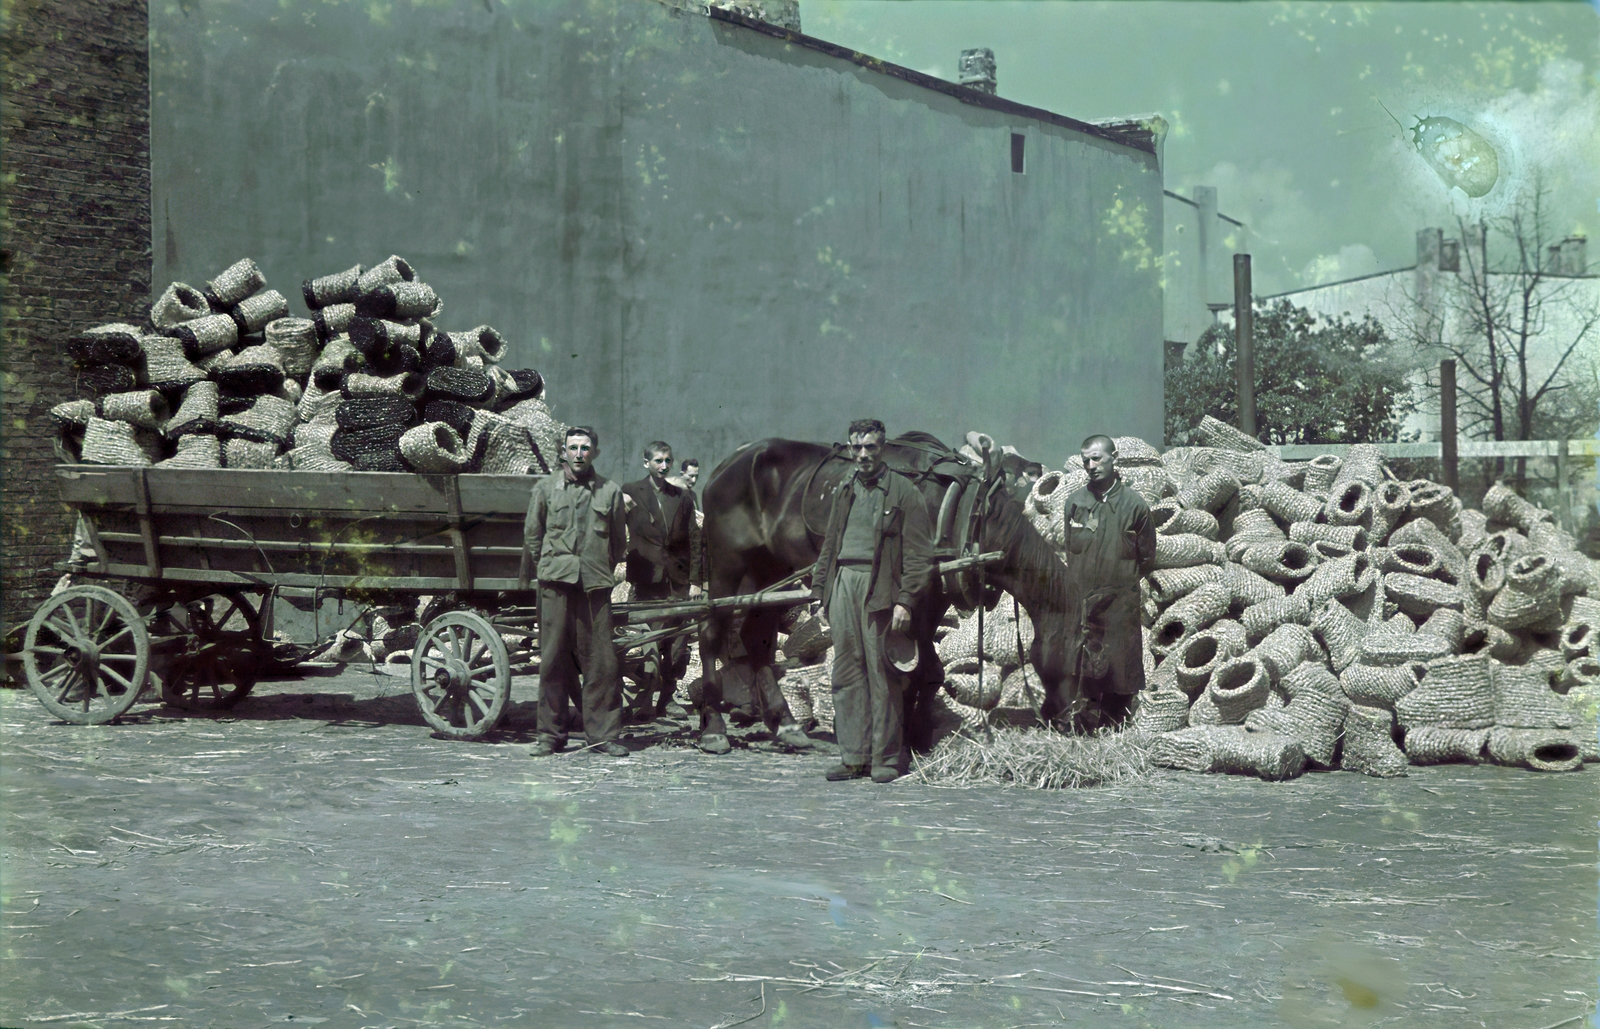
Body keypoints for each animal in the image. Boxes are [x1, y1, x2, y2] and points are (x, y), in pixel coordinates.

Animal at [697, 432, 1062, 752]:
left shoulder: (933, 596)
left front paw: (914, 732)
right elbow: (920, 666)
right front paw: (907, 734)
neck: (965, 513)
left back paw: (785, 724)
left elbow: (927, 668)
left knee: (756, 637)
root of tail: (726, 465)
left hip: (770, 569)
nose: (1068, 719)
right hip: (728, 562)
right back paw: (714, 728)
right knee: (710, 630)